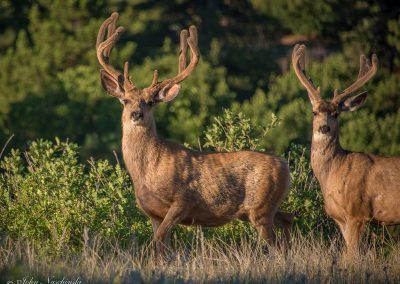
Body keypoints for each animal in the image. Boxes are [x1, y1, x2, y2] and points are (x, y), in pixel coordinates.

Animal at [95, 12, 292, 254]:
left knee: (277, 244)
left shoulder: (183, 200)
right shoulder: (152, 213)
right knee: (289, 219)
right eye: (124, 100)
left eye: (150, 102)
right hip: (263, 209)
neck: (148, 171)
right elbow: (160, 244)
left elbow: (159, 239)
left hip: (260, 207)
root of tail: (285, 165)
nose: (136, 114)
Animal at [290, 44, 400, 253]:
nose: (324, 128)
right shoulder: (340, 218)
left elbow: (351, 257)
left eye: (336, 113)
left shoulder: (357, 213)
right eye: (314, 112)